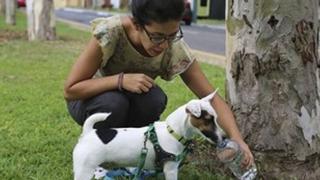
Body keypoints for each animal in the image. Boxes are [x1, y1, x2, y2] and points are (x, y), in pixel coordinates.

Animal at [72, 90, 224, 179]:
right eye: (208, 120)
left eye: (216, 118)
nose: (224, 137)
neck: (172, 132)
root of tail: (88, 133)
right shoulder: (171, 169)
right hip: (84, 170)